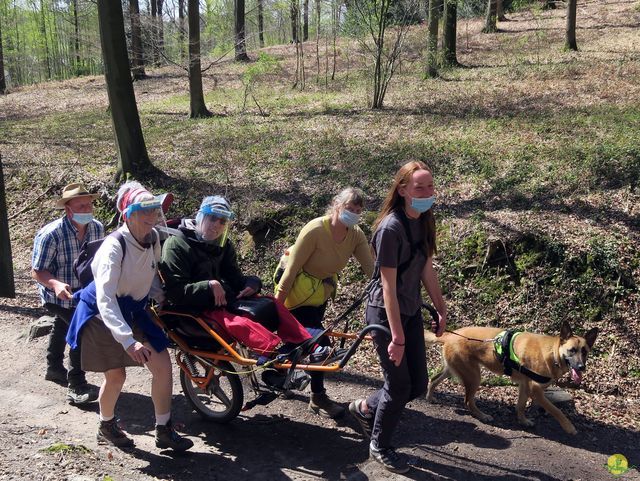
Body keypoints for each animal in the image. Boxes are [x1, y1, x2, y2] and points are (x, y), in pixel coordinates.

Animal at [428, 320, 596, 434]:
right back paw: (482, 416)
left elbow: (520, 405)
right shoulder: (535, 390)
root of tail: (449, 336)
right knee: (467, 401)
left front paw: (522, 420)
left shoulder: (524, 386)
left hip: (453, 370)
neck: (552, 352)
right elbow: (556, 410)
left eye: (584, 352)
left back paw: (430, 397)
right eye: (572, 350)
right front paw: (569, 427)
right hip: (474, 376)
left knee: (433, 379)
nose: (581, 367)